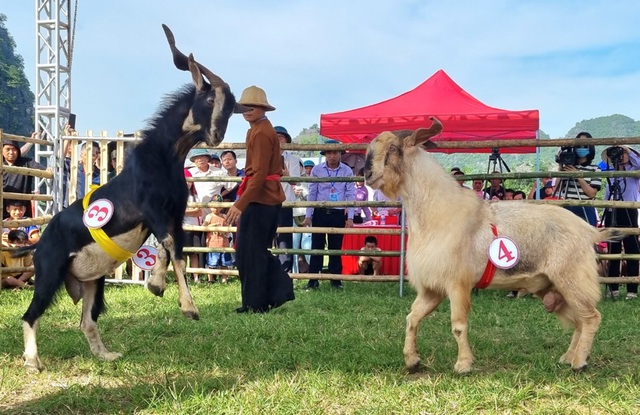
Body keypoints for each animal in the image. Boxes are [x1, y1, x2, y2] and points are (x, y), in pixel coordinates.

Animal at [19, 24, 245, 372]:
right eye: (209, 98)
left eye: (232, 106)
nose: (216, 136)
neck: (165, 159)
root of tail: (39, 240)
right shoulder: (153, 211)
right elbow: (173, 249)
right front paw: (188, 306)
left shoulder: (173, 214)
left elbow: (171, 250)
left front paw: (156, 285)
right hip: (49, 272)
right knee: (30, 315)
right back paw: (32, 361)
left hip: (92, 281)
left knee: (87, 320)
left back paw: (105, 354)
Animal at [364, 118, 620, 376]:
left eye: (393, 148)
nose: (367, 174)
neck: (438, 212)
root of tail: (589, 230)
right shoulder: (431, 288)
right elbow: (411, 318)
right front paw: (412, 361)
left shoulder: (457, 284)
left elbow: (458, 325)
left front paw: (463, 365)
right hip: (550, 288)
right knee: (578, 320)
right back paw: (568, 357)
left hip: (573, 279)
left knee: (591, 317)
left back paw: (579, 362)